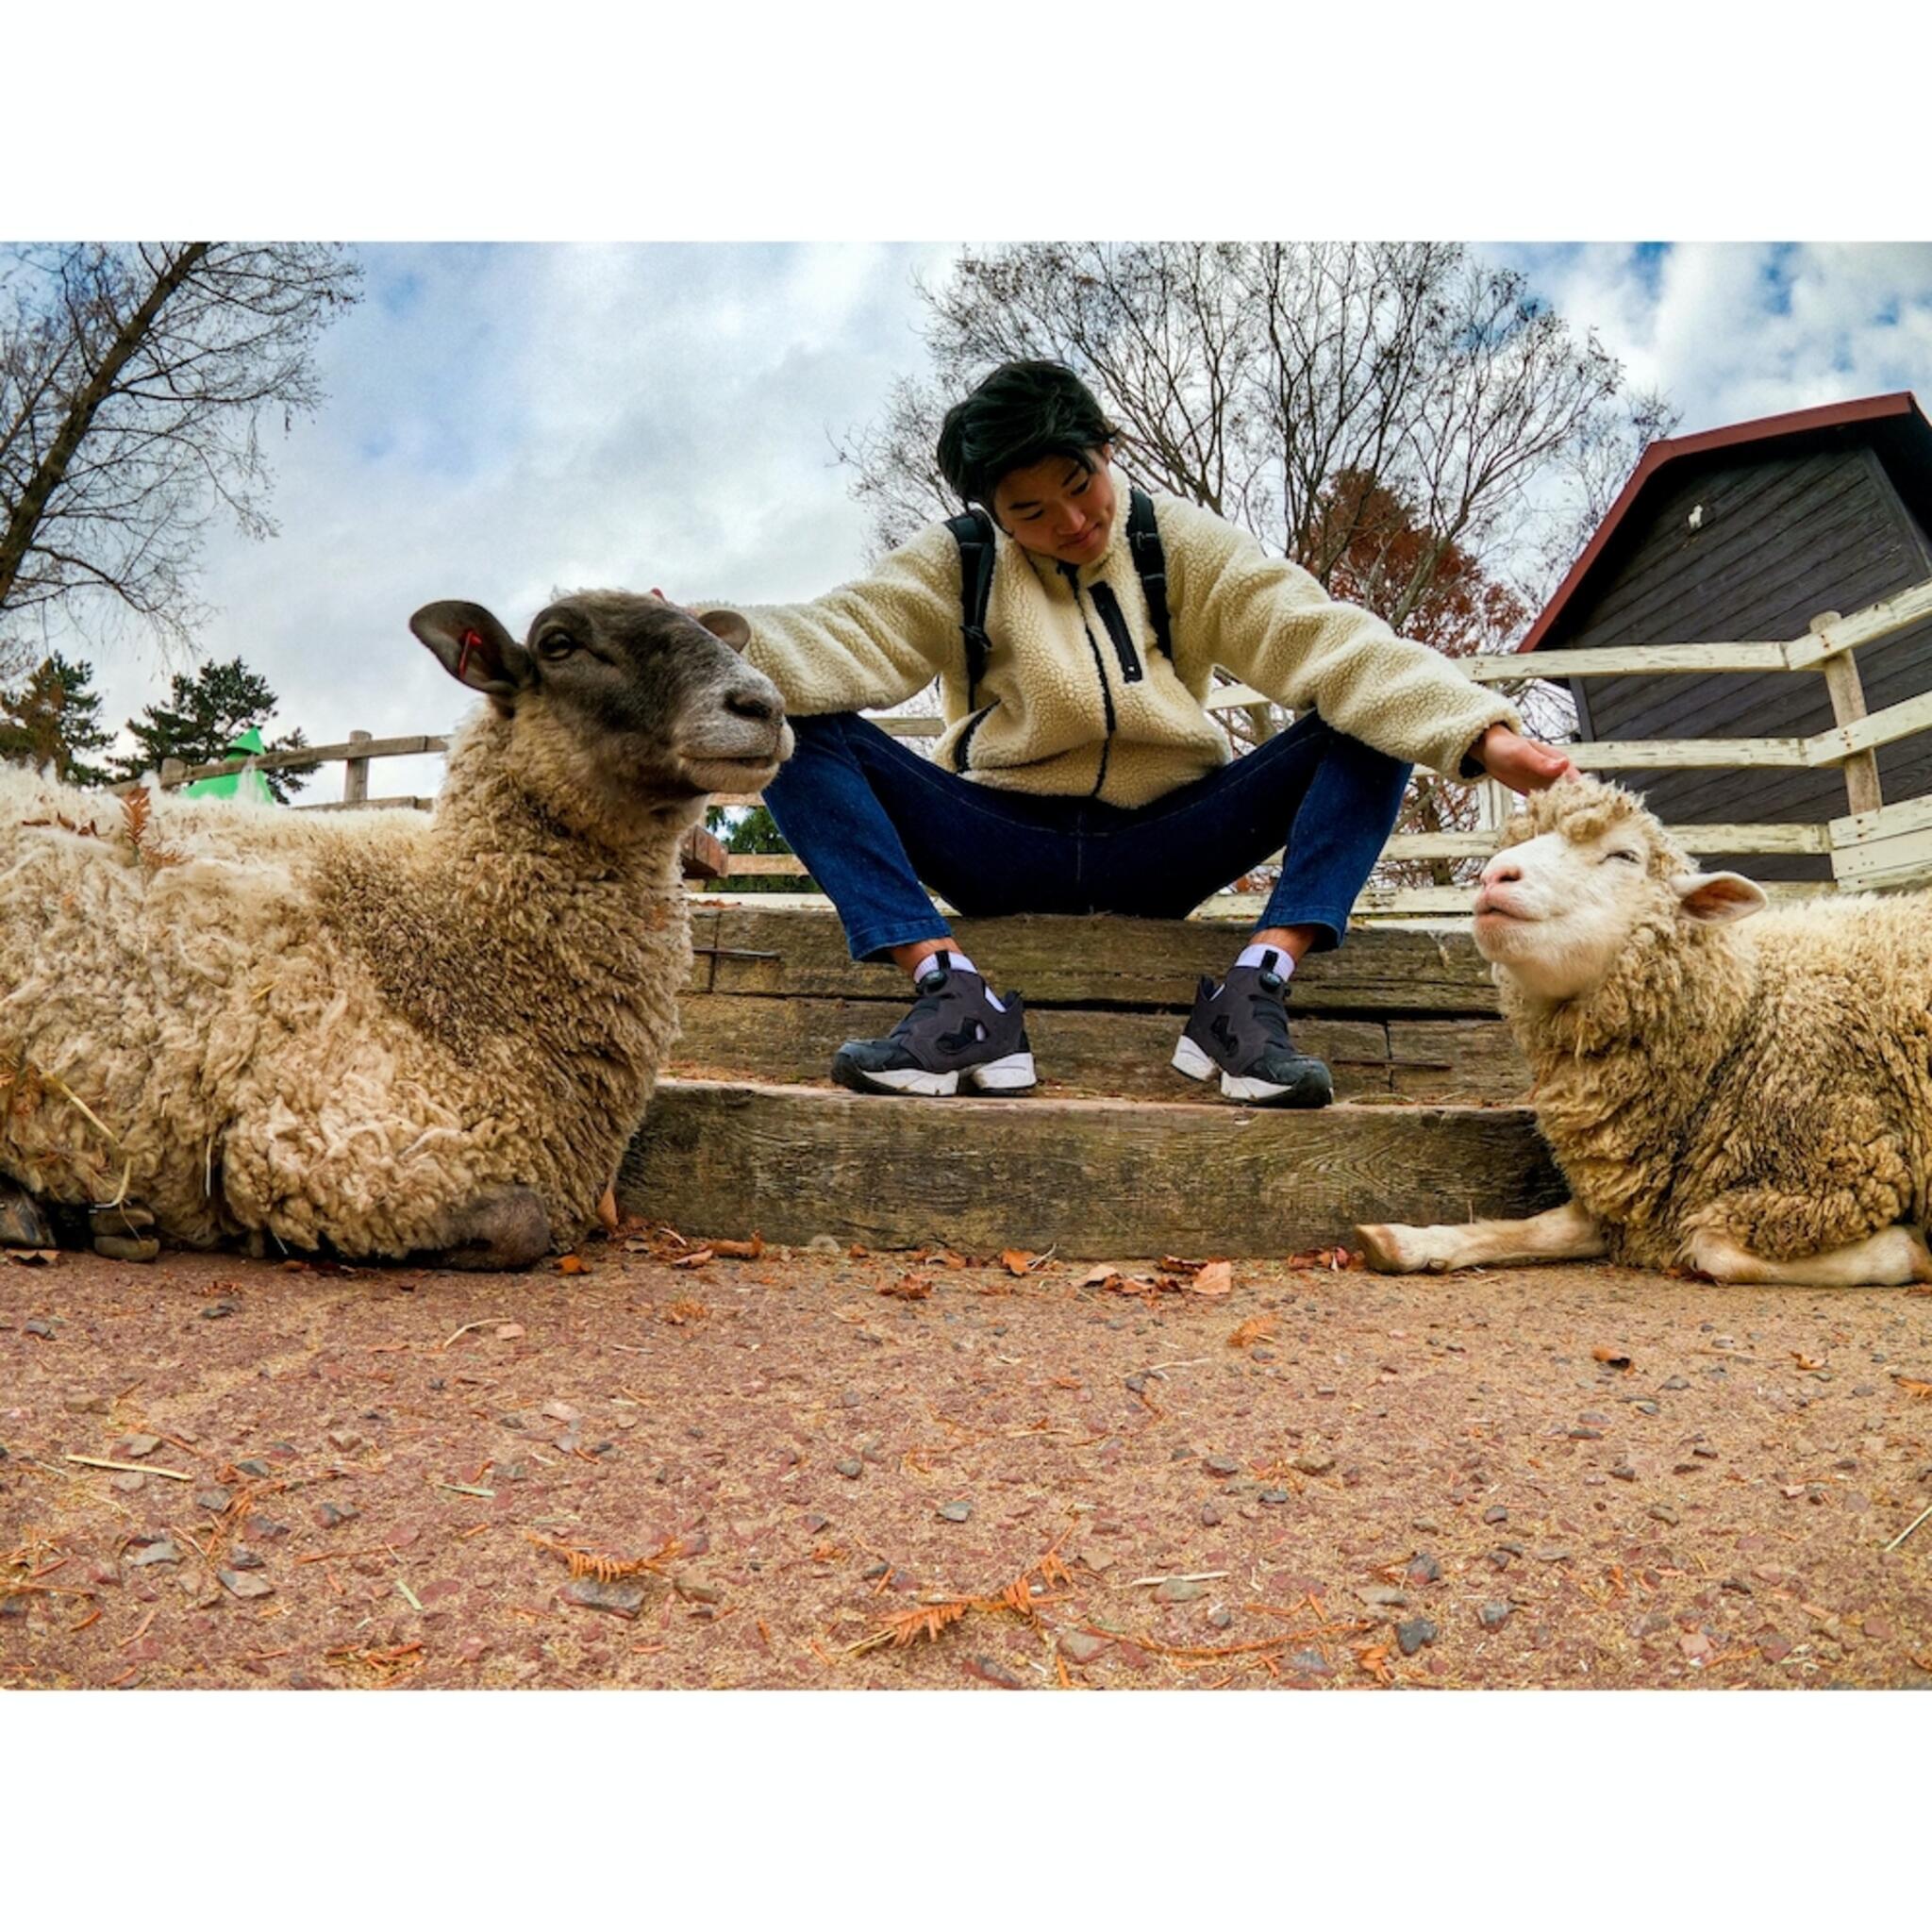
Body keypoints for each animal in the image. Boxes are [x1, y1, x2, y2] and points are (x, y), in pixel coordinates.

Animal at [1352, 769, 1932, 1282]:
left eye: (1624, 856)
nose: (1494, 877)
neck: (1742, 1017)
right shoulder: (1632, 1202)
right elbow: (1541, 1227)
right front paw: (1411, 1241)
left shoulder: (1839, 1168)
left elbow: (1713, 1249)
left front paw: (1912, 1250)